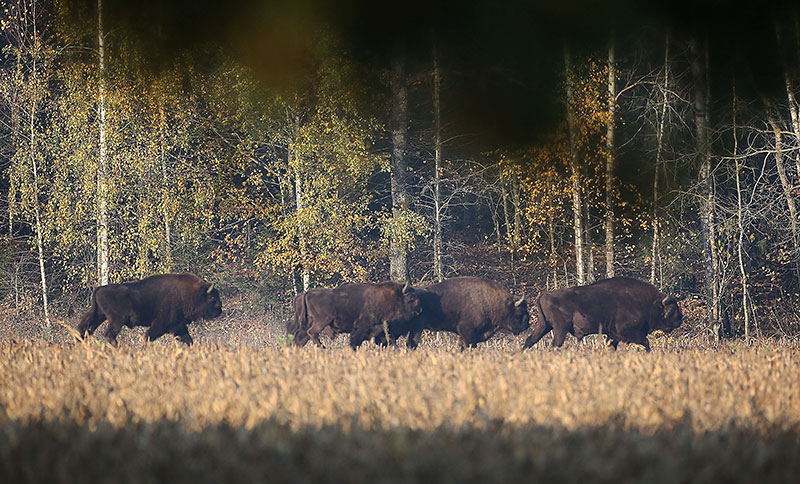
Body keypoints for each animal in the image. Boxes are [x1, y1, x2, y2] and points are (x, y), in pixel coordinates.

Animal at [77, 270, 222, 346]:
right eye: (213, 298)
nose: (220, 310)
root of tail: (98, 289)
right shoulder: (160, 324)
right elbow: (149, 336)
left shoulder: (178, 325)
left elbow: (188, 339)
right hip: (116, 320)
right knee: (108, 334)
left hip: (99, 315)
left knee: (85, 329)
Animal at [290, 282, 424, 350]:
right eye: (411, 298)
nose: (420, 310)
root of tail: (306, 293)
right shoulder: (362, 326)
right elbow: (355, 340)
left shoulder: (382, 328)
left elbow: (388, 338)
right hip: (322, 320)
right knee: (312, 332)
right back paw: (324, 347)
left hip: (307, 323)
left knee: (300, 338)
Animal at [520, 276, 684, 352]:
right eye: (672, 310)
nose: (680, 321)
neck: (649, 302)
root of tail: (543, 295)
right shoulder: (626, 332)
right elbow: (646, 342)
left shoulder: (613, 335)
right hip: (560, 329)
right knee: (554, 344)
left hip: (544, 326)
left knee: (530, 340)